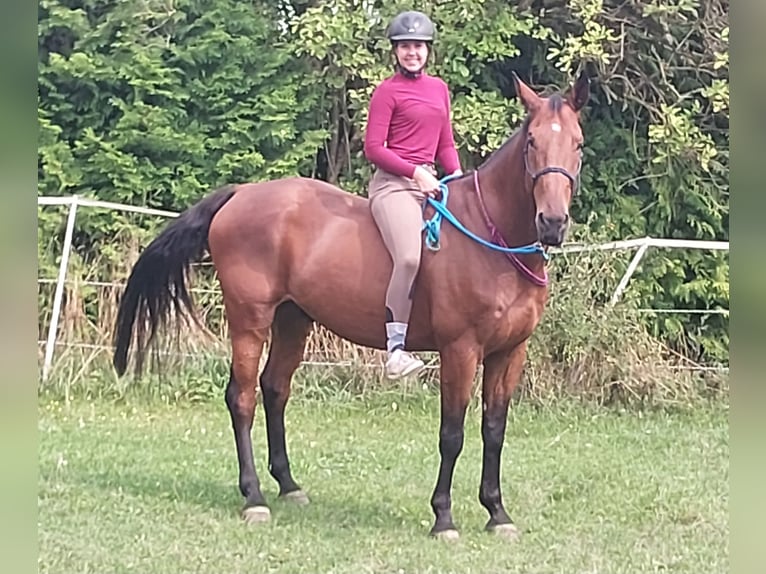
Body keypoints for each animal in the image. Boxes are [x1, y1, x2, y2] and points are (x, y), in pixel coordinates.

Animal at [111, 71, 592, 540]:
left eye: (577, 144)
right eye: (532, 142)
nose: (552, 223)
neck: (493, 241)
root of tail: (241, 194)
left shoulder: (509, 352)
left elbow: (494, 430)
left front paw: (497, 513)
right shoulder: (461, 349)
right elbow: (452, 433)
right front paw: (443, 518)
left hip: (293, 318)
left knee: (275, 388)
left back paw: (288, 485)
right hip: (250, 318)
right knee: (242, 397)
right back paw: (254, 498)